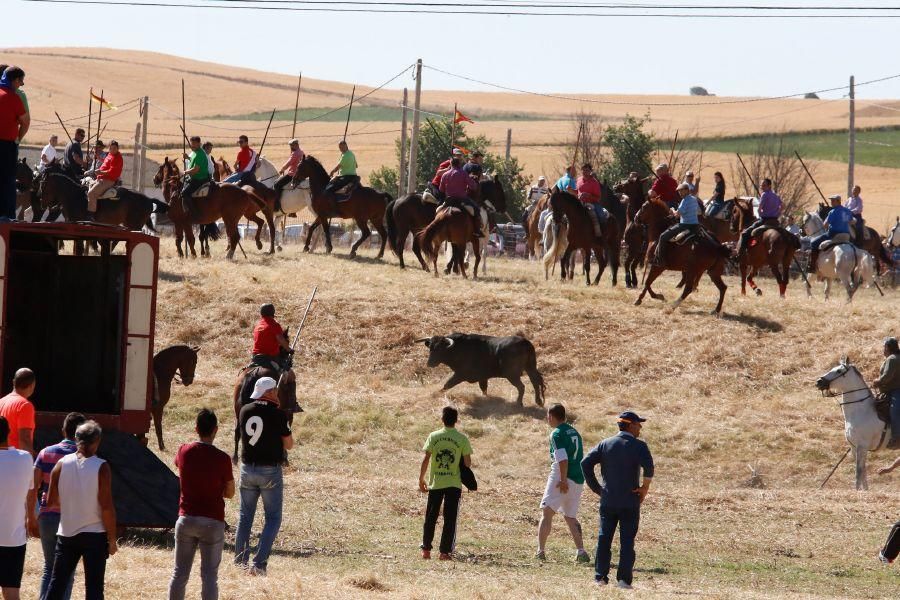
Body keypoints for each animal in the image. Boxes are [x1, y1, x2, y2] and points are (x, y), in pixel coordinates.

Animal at [416, 330, 548, 406]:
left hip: (512, 375)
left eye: (440, 349)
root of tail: (525, 343)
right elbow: (483, 389)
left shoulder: (460, 374)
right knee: (535, 382)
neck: (458, 348)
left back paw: (518, 403)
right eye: (430, 348)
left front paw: (435, 394)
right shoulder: (483, 377)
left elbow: (447, 384)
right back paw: (538, 401)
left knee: (522, 387)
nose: (429, 363)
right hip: (530, 368)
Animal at [816, 358, 892, 490]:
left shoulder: (862, 447)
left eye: (839, 370)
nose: (819, 382)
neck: (861, 411)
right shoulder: (854, 447)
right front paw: (865, 491)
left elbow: (858, 472)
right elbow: (863, 471)